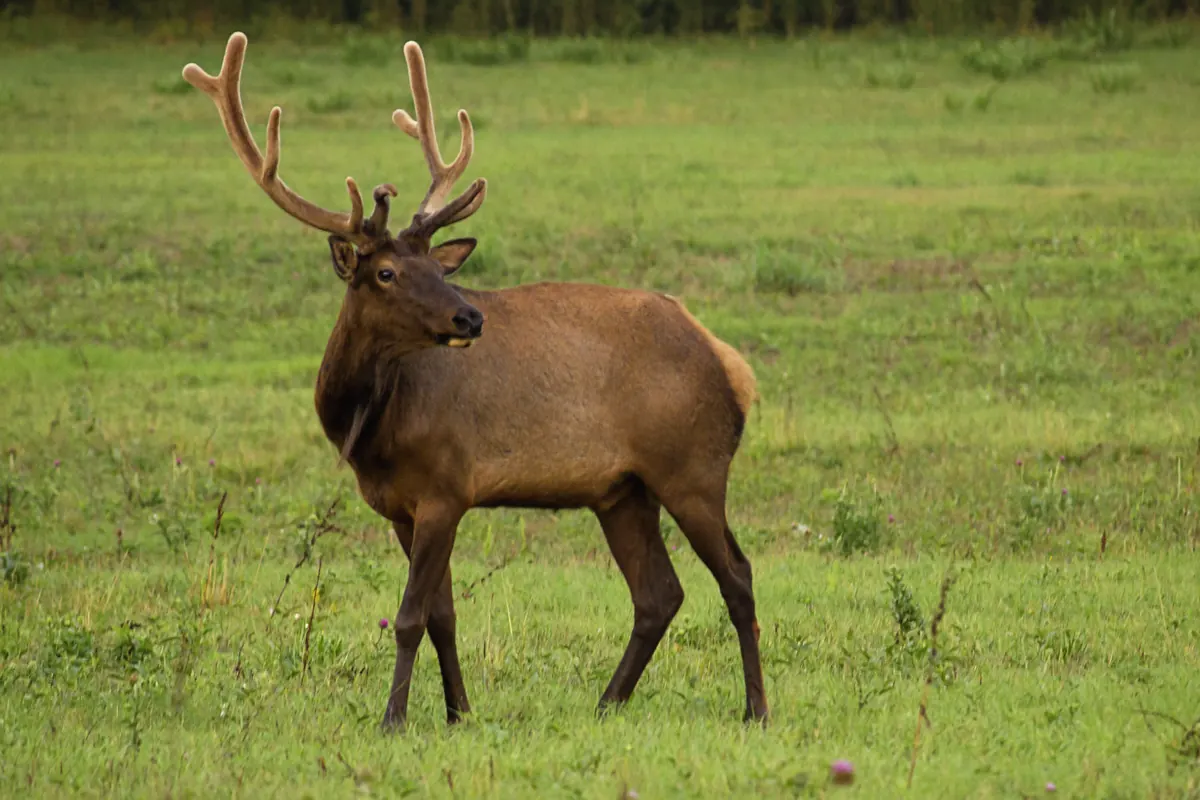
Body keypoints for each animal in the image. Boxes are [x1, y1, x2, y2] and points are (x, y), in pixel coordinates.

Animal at [182, 32, 767, 731]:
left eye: (438, 267)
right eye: (385, 273)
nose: (470, 315)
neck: (371, 430)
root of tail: (733, 365)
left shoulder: (447, 485)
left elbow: (409, 616)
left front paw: (394, 718)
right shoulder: (399, 506)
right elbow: (442, 614)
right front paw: (458, 712)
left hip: (692, 466)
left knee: (737, 575)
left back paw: (755, 709)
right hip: (622, 491)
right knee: (659, 593)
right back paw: (606, 702)